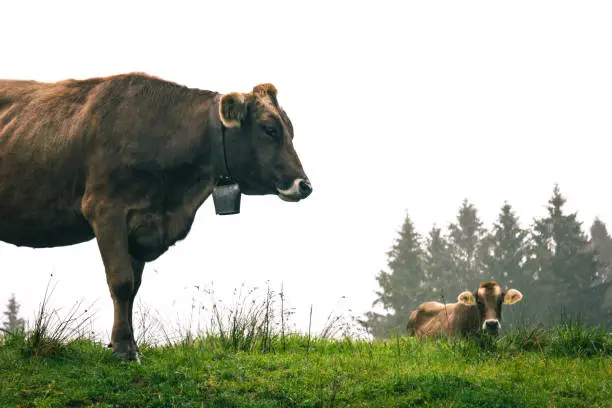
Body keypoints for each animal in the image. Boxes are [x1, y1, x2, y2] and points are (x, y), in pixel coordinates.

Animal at [0, 72, 314, 360]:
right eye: (269, 129)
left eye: (290, 130)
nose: (305, 185)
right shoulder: (105, 210)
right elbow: (121, 282)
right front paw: (124, 349)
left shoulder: (142, 225)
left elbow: (133, 288)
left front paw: (129, 344)